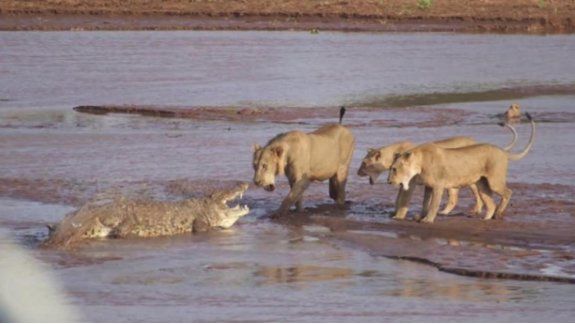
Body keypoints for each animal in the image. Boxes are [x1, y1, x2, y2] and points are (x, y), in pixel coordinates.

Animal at [358, 123, 520, 219]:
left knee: (479, 194)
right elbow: (400, 199)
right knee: (456, 197)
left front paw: (398, 215)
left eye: (364, 163)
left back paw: (480, 210)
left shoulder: (410, 183)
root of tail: (474, 141)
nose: (357, 172)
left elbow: (402, 199)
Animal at [388, 114, 536, 223]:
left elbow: (433, 204)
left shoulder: (438, 185)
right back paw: (486, 218)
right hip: (482, 185)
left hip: (494, 181)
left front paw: (428, 220)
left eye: (394, 169)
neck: (420, 163)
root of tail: (502, 151)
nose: (389, 182)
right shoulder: (428, 186)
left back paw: (498, 214)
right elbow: (425, 203)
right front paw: (421, 216)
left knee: (508, 192)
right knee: (490, 203)